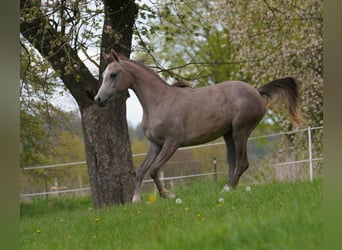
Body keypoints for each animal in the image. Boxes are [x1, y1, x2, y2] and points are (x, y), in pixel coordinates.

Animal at [94, 49, 302, 202]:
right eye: (104, 74)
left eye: (113, 74)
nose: (98, 99)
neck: (159, 102)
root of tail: (257, 91)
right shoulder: (155, 144)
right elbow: (141, 170)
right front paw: (136, 200)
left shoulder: (172, 142)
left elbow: (153, 170)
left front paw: (168, 195)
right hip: (228, 135)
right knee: (234, 164)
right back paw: (229, 190)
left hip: (240, 132)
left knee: (242, 163)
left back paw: (226, 190)